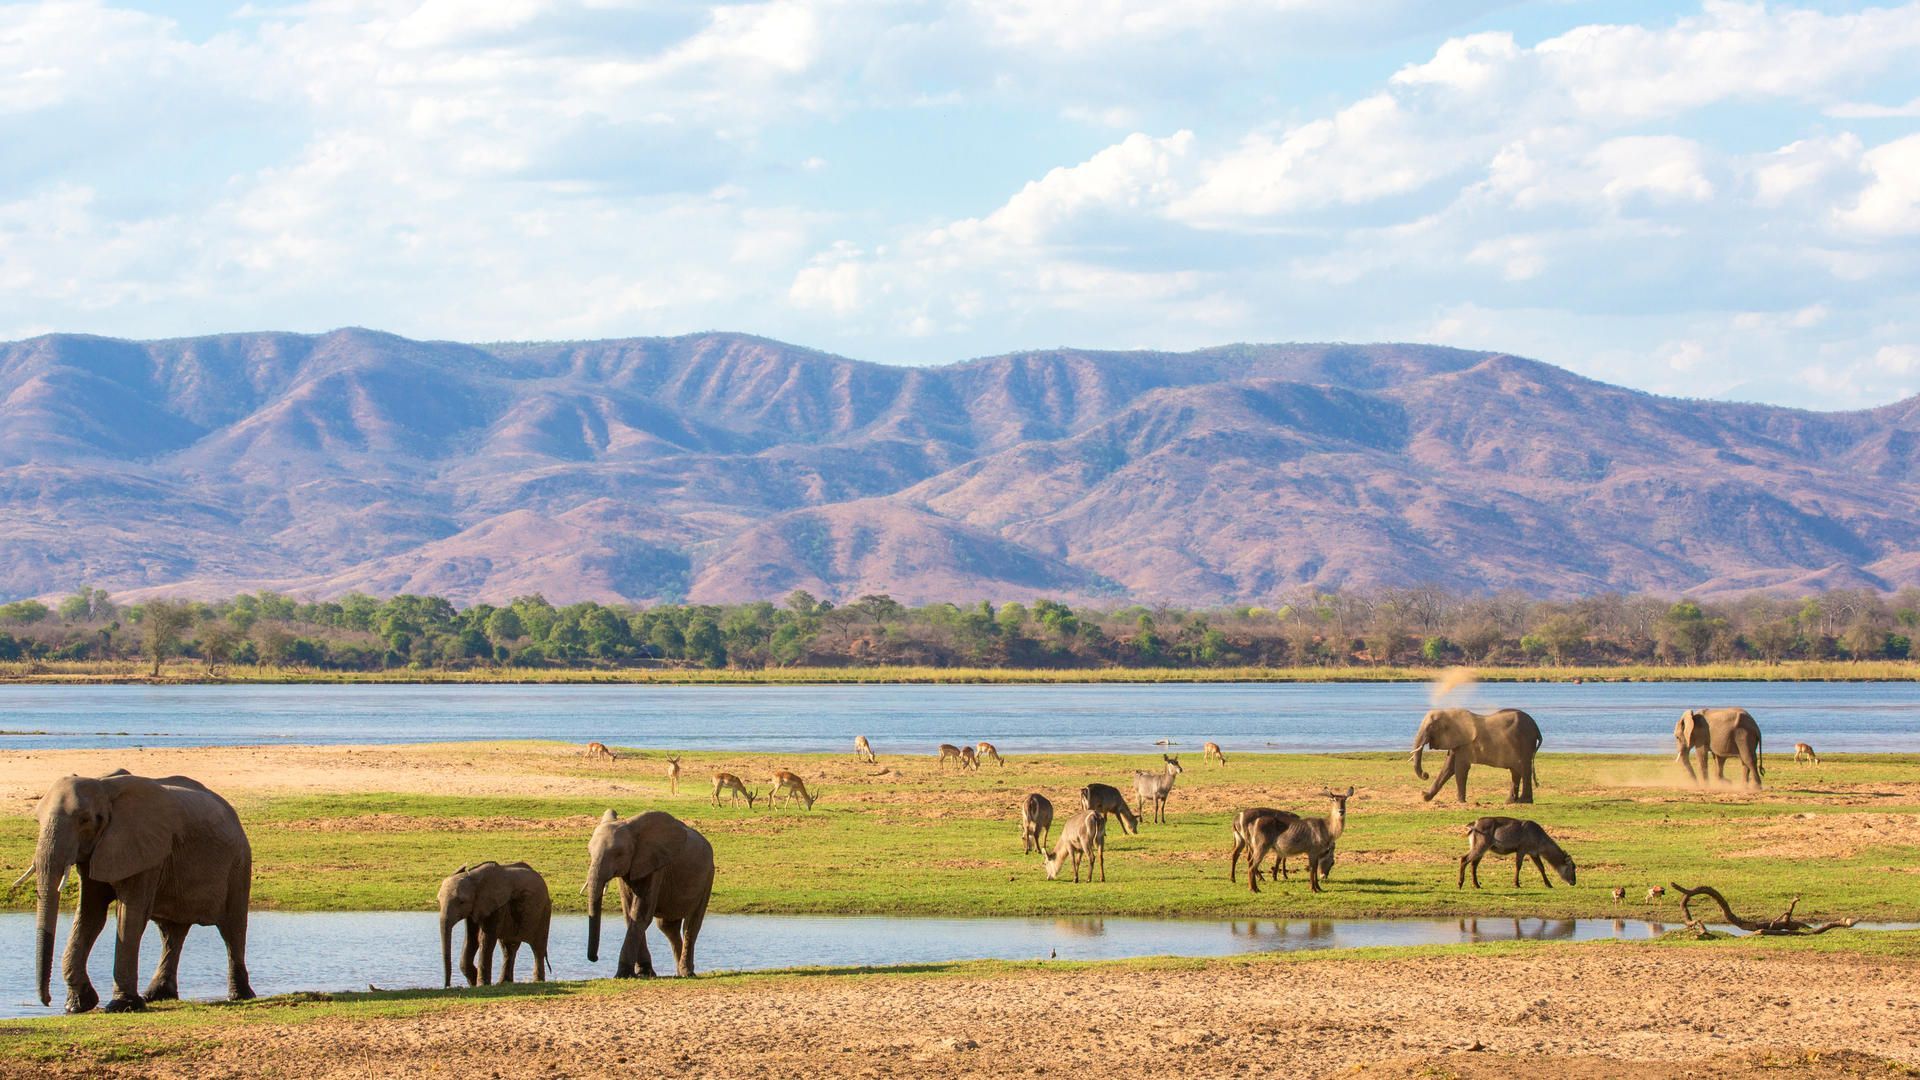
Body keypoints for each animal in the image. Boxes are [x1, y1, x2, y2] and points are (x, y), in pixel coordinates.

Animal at [29, 771, 253, 1013]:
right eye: (37, 820)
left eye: (85, 820)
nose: (47, 1001)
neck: (104, 787)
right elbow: (90, 916)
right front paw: (77, 1005)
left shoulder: (146, 853)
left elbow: (130, 917)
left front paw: (120, 1006)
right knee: (171, 933)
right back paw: (157, 995)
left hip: (238, 865)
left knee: (232, 929)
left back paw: (239, 996)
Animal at [585, 810, 715, 978]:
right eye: (589, 852)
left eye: (619, 853)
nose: (595, 958)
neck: (632, 828)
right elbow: (629, 914)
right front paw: (644, 973)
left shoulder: (656, 867)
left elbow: (640, 915)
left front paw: (623, 975)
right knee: (667, 927)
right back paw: (680, 972)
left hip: (708, 876)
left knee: (691, 925)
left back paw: (687, 972)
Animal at [1411, 708, 1542, 803]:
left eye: (1431, 727)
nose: (1425, 774)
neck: (1449, 713)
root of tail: (1537, 728)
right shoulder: (1457, 742)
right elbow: (1447, 768)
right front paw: (1425, 797)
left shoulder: (1465, 745)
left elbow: (1460, 768)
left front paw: (1461, 802)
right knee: (1515, 771)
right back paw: (1510, 802)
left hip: (1525, 742)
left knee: (1524, 770)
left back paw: (1523, 801)